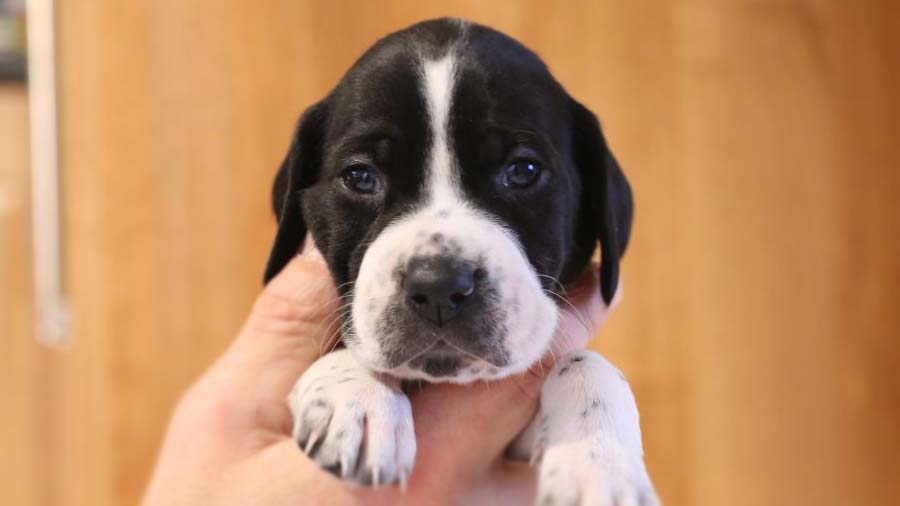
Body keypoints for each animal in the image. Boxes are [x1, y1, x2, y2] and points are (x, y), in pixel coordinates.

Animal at [264, 17, 656, 504]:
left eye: (523, 171)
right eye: (359, 176)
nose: (438, 285)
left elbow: (588, 364)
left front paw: (598, 461)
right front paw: (355, 395)